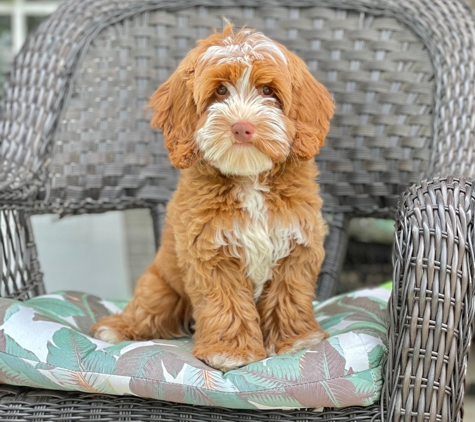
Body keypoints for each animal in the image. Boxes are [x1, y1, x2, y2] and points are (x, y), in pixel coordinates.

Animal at [92, 24, 334, 370]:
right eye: (220, 91)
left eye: (268, 90)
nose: (243, 127)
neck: (249, 178)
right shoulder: (211, 251)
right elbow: (226, 301)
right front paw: (230, 351)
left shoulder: (296, 244)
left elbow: (290, 292)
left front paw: (294, 339)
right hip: (160, 287)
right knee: (147, 311)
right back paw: (116, 328)